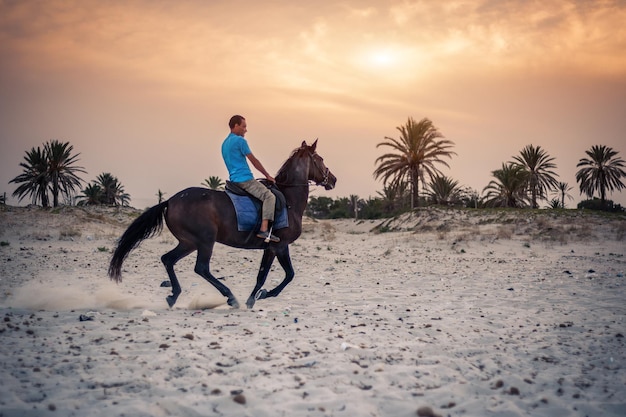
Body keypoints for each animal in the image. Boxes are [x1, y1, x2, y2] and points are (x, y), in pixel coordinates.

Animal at [106, 141, 336, 308]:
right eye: (321, 159)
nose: (333, 179)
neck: (288, 199)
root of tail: (170, 200)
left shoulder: (277, 247)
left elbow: (279, 275)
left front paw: (259, 296)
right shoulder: (276, 246)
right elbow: (273, 276)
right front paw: (258, 297)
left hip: (189, 242)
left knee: (168, 259)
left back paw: (174, 295)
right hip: (205, 241)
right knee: (201, 268)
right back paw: (230, 297)